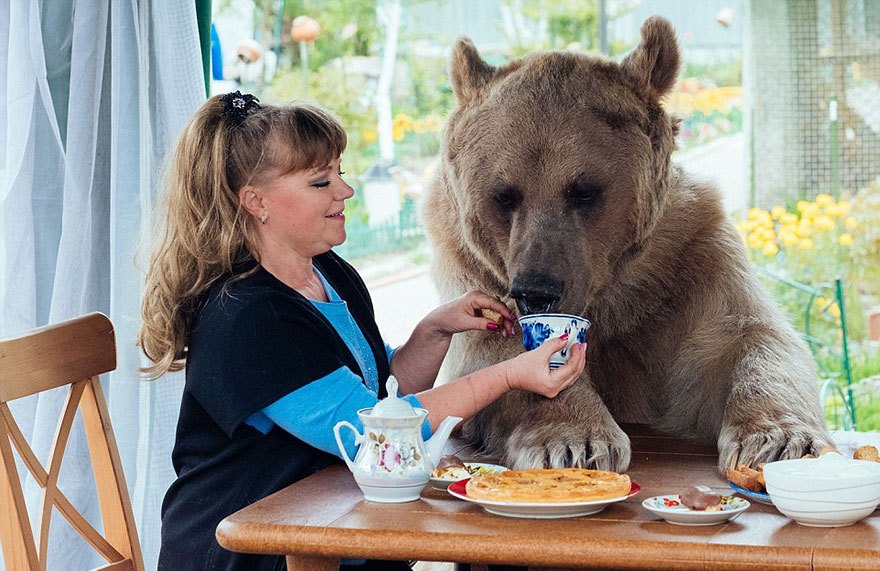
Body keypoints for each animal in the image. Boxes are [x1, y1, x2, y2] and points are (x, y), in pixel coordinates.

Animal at [422, 16, 833, 473]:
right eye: (504, 195)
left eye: (584, 190)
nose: (536, 291)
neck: (610, 293)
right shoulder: (473, 265)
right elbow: (494, 351)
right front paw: (573, 439)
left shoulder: (688, 258)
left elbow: (748, 336)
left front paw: (778, 440)